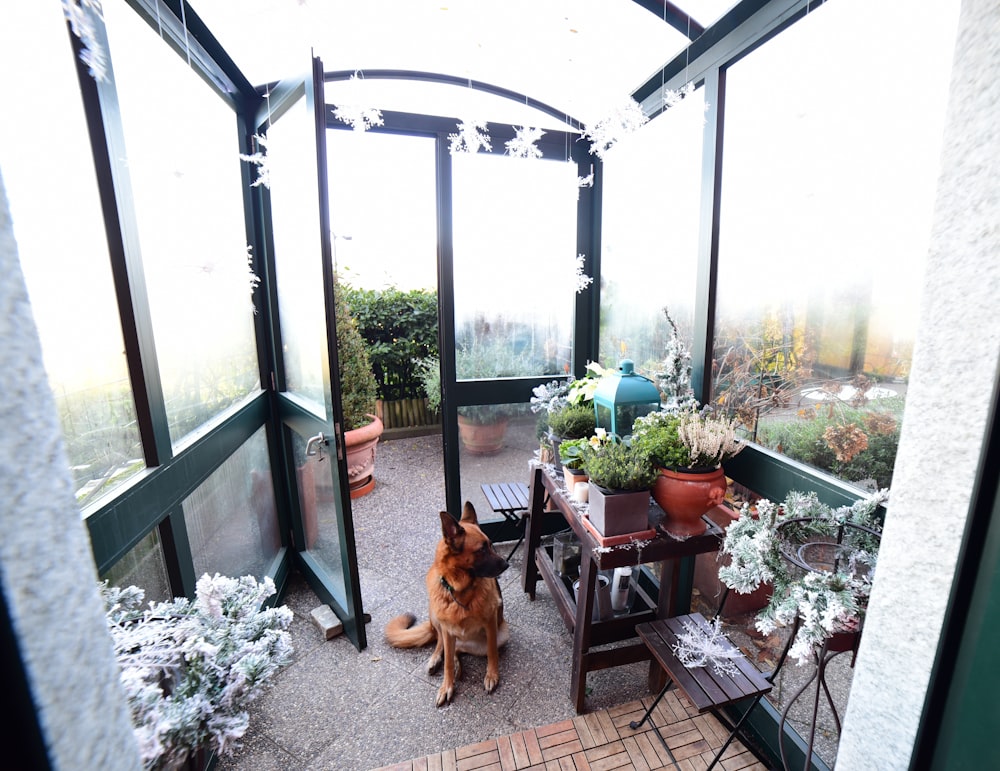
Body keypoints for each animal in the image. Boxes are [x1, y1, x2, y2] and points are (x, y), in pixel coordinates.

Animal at [382, 504, 508, 708]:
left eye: (491, 544)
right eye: (482, 549)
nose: (506, 564)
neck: (459, 591)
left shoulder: (490, 623)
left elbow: (491, 652)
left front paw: (491, 676)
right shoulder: (448, 629)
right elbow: (447, 661)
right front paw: (446, 687)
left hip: (501, 634)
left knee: (460, 649)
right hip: (436, 617)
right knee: (442, 643)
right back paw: (438, 659)